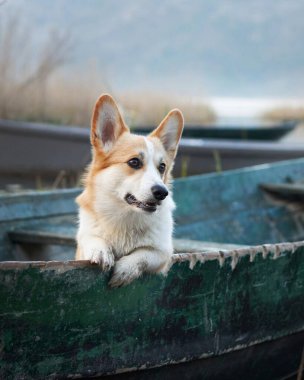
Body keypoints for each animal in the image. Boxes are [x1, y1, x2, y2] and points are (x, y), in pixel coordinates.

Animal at [75, 94, 185, 284]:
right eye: (134, 162)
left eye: (162, 167)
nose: (162, 193)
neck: (127, 218)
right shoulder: (84, 241)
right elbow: (91, 238)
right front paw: (101, 251)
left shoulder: (163, 254)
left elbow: (144, 254)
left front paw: (125, 270)